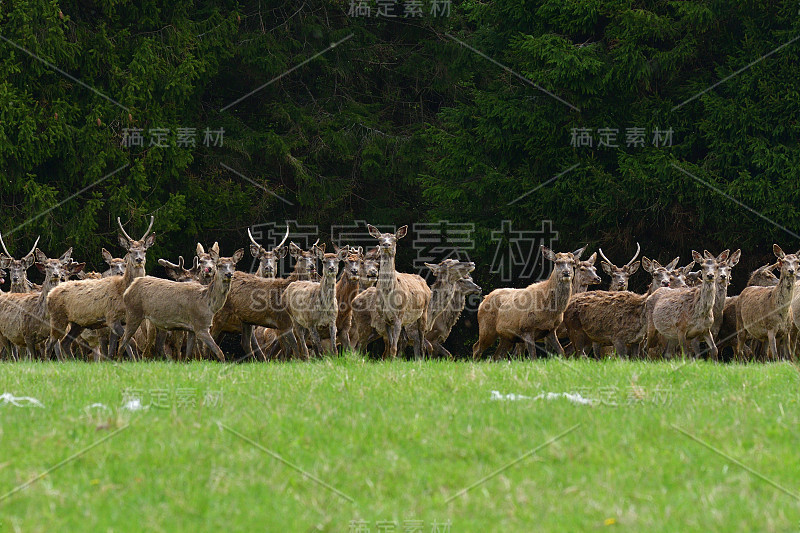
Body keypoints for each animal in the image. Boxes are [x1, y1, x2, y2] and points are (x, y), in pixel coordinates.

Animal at [46, 214, 155, 360]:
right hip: (58, 317)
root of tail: (50, 294)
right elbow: (128, 341)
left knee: (65, 342)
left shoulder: (125, 320)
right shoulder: (111, 316)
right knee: (50, 343)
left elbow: (121, 345)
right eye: (130, 250)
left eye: (144, 250)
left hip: (77, 323)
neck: (123, 290)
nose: (139, 259)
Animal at [352, 224, 432, 358]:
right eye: (380, 239)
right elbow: (390, 346)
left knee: (421, 343)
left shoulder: (398, 316)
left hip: (423, 312)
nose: (386, 244)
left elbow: (393, 347)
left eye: (394, 239)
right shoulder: (385, 318)